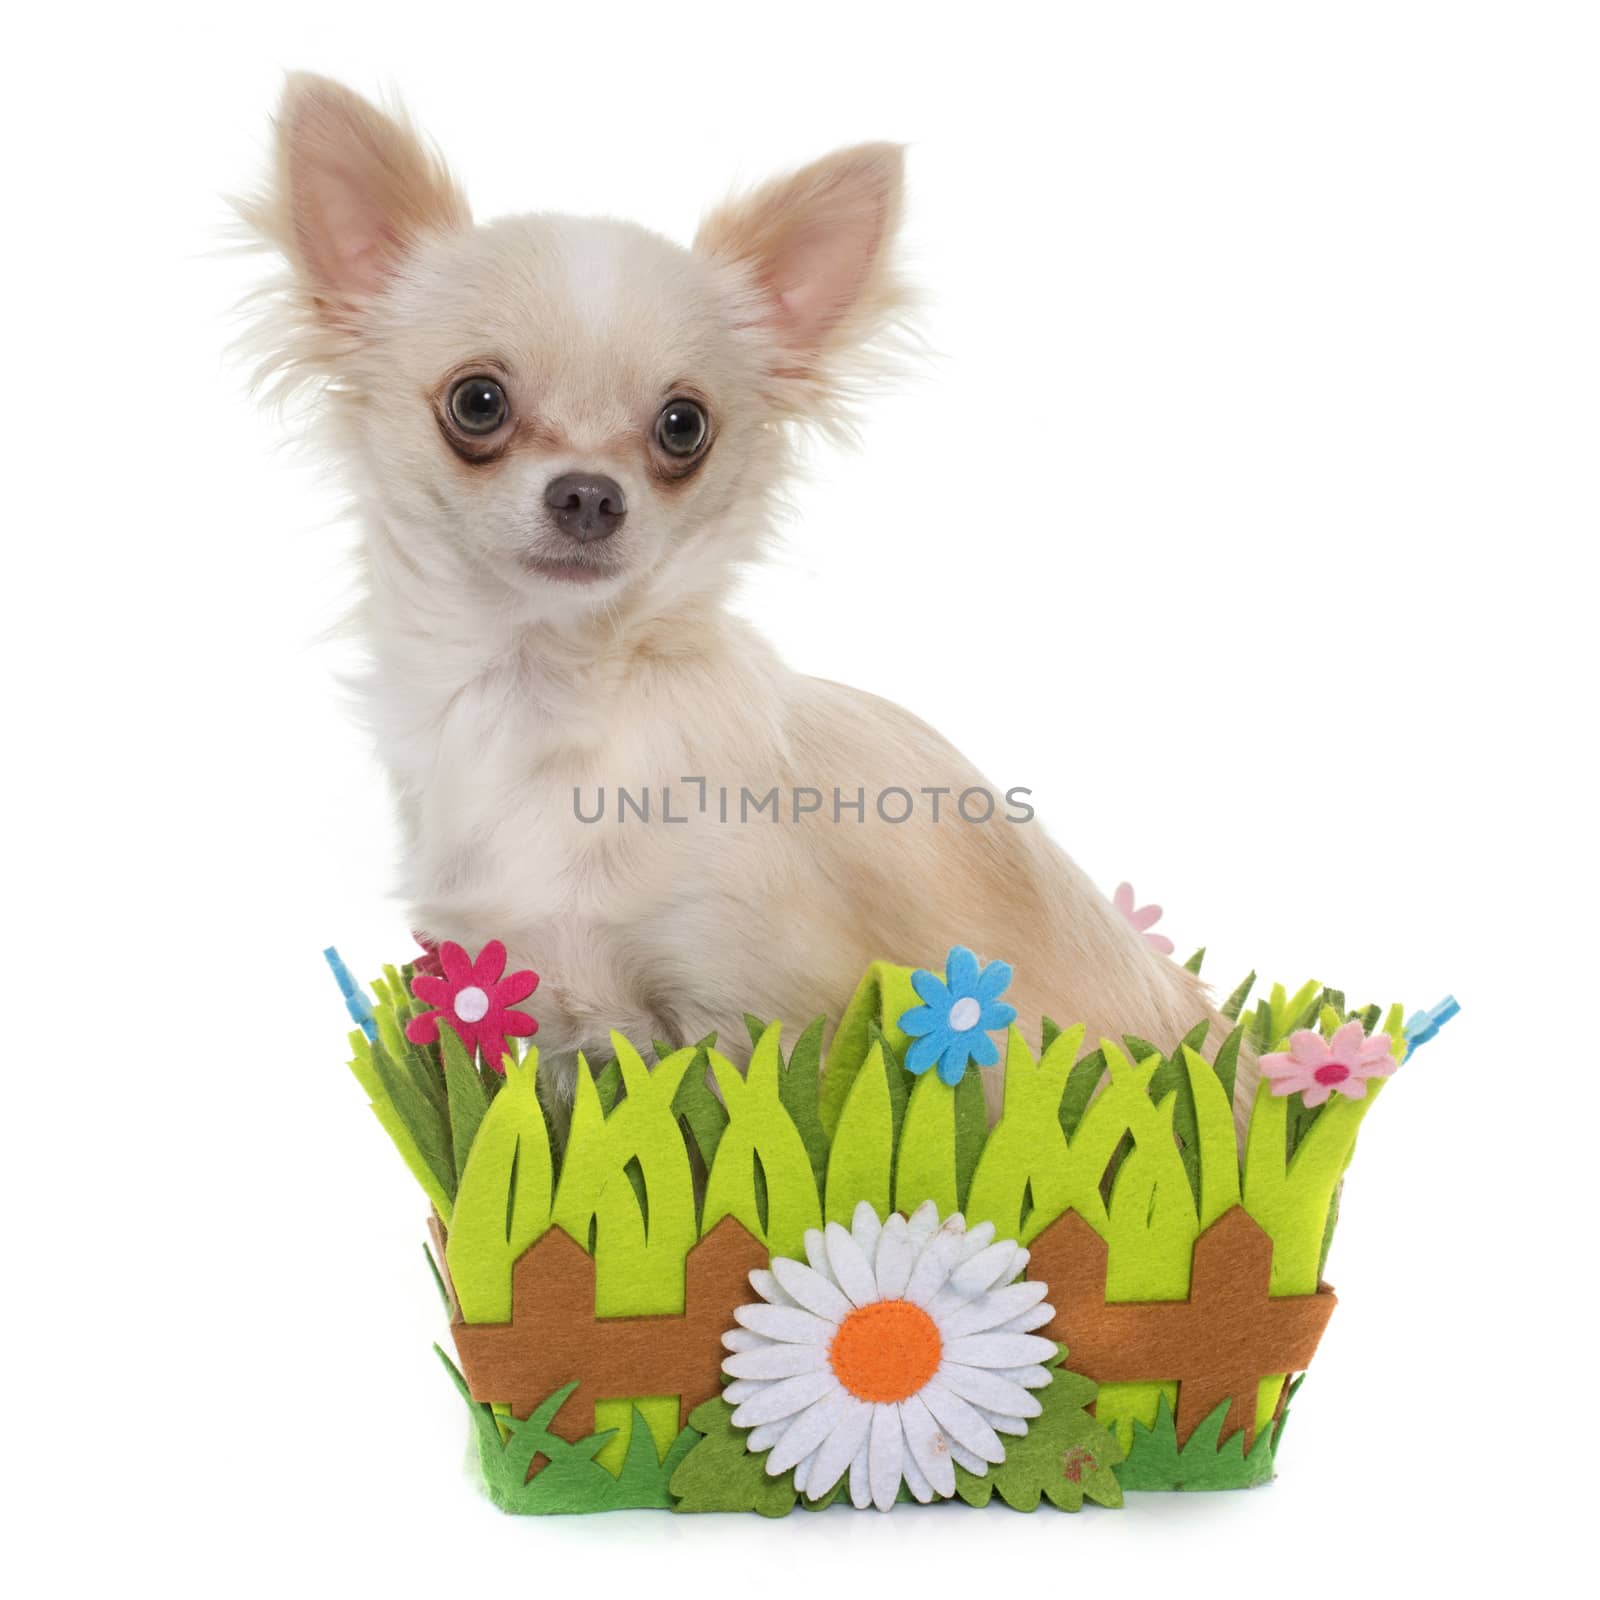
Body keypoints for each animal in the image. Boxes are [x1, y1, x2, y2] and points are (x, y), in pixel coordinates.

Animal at [246, 75, 1235, 1120]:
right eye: (477, 403)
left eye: (684, 426)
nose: (589, 494)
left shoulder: (762, 1012)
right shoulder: (554, 1023)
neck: (553, 694)